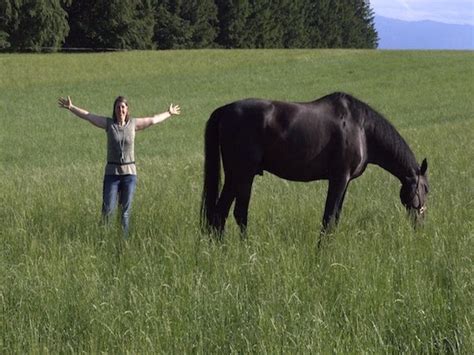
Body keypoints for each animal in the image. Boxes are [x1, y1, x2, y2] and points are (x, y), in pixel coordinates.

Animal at [200, 92, 430, 239]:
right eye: (426, 189)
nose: (421, 223)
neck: (362, 129)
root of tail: (225, 110)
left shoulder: (345, 182)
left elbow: (335, 218)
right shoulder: (339, 178)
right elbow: (328, 219)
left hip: (236, 176)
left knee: (222, 214)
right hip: (242, 174)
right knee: (235, 214)